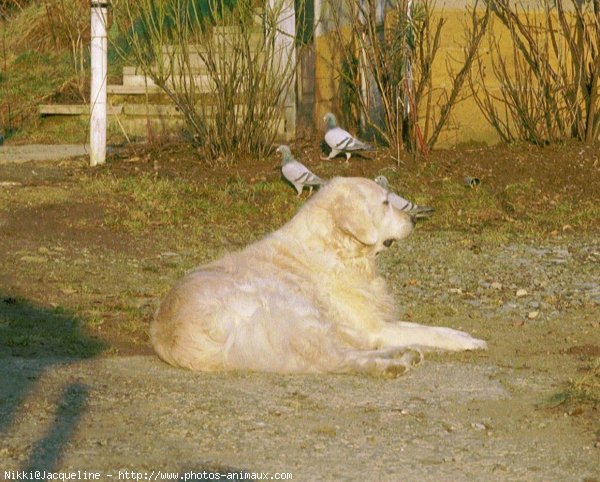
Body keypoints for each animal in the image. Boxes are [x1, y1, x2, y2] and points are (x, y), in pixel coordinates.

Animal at [151, 177, 488, 376]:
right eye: (385, 203)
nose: (414, 219)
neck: (340, 250)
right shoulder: (373, 326)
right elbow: (429, 331)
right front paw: (468, 341)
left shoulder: (373, 323)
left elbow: (426, 327)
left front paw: (462, 334)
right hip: (294, 310)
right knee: (335, 359)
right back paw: (393, 364)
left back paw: (402, 355)